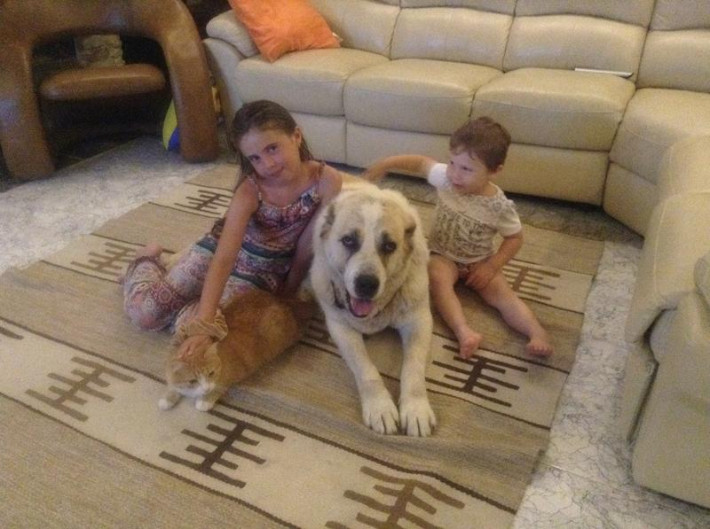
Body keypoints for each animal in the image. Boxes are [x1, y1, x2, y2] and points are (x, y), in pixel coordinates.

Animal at [158, 288, 314, 412]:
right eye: (192, 381)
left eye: (211, 373)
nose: (206, 388)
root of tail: (281, 301)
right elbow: (174, 385)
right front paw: (167, 398)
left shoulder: (229, 377)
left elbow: (219, 387)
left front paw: (205, 400)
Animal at [310, 178, 436, 436]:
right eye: (349, 240)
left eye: (389, 246)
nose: (366, 284)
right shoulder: (340, 327)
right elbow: (366, 369)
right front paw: (380, 407)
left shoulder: (420, 321)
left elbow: (414, 368)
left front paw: (415, 408)